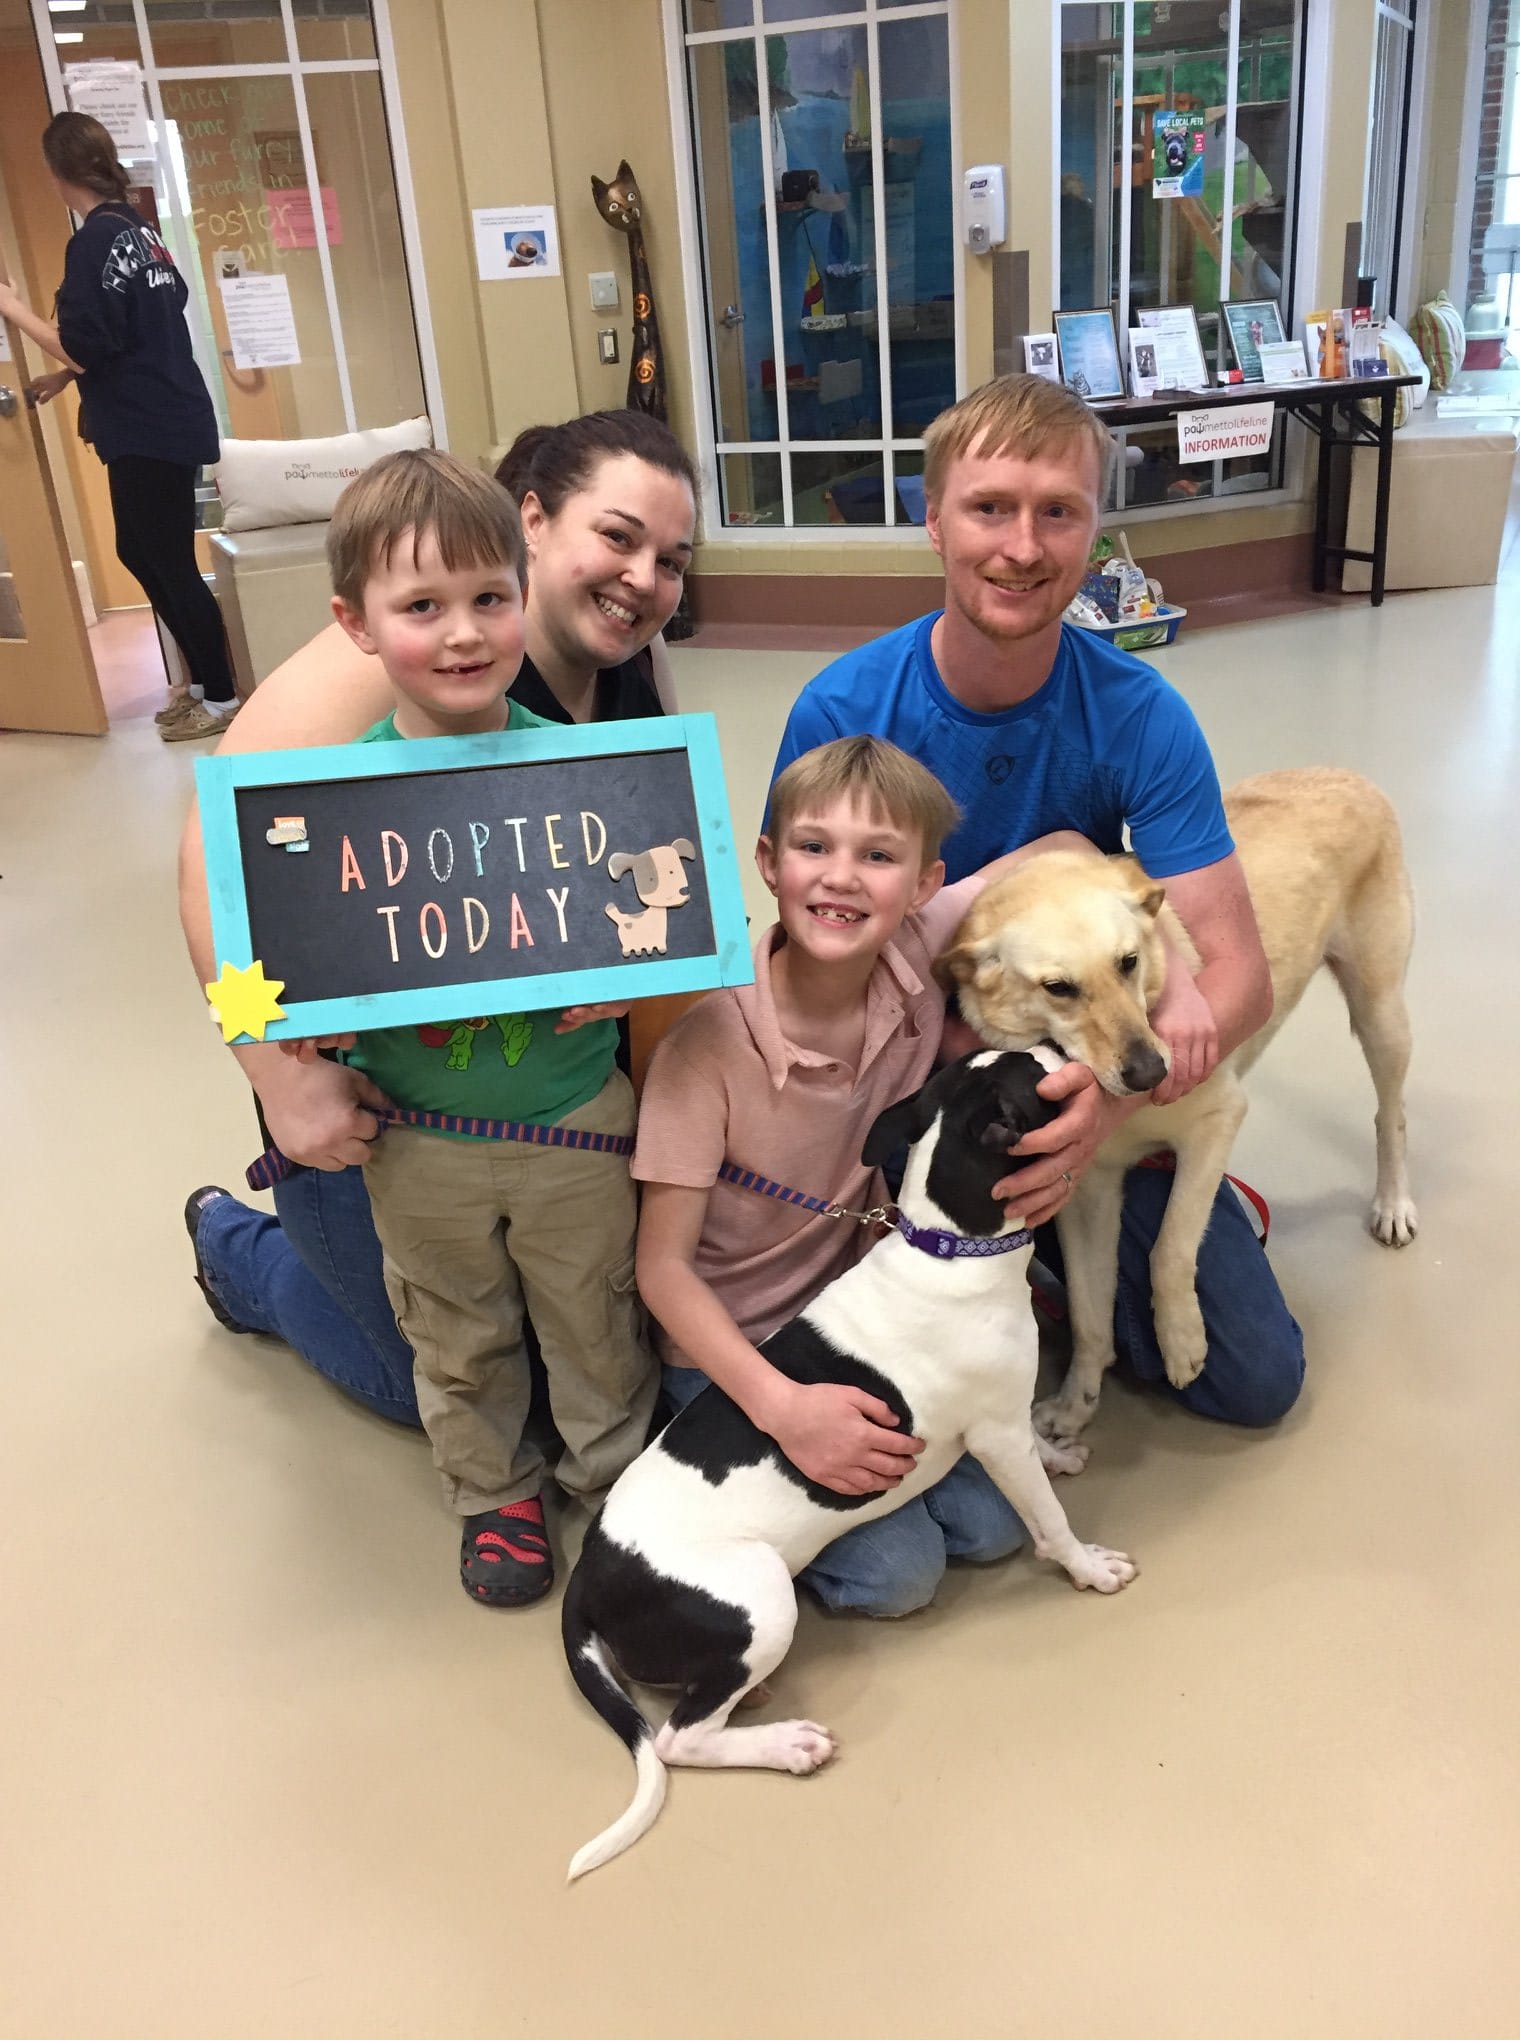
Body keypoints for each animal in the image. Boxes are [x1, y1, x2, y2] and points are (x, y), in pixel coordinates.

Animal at [560, 1049, 1139, 1880]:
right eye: (1039, 1071)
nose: (1065, 1050)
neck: (950, 1245)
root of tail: (589, 1571)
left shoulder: (1010, 1424)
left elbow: (1042, 1457)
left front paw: (1061, 1452)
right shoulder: (996, 1435)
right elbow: (1050, 1521)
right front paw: (1089, 1566)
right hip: (765, 1601)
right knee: (678, 1739)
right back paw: (785, 1744)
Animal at [939, 768, 1416, 1441]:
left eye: (1129, 962)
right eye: (1058, 988)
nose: (1154, 1073)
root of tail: (1343, 773)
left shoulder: (1218, 1124)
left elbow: (1168, 1250)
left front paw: (1182, 1341)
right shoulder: (1088, 1192)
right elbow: (1090, 1313)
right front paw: (1077, 1404)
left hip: (1381, 1013)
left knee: (1390, 1116)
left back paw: (1394, 1205)